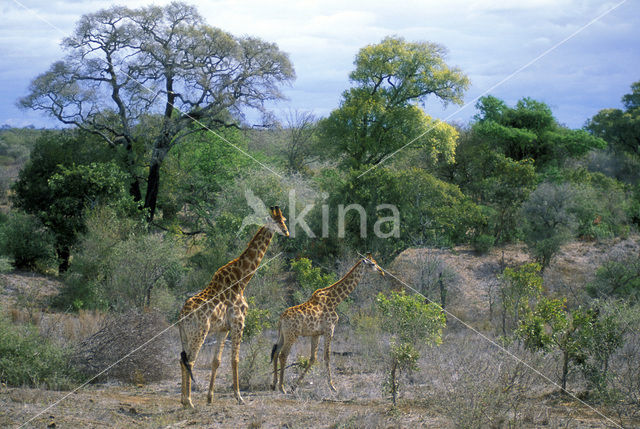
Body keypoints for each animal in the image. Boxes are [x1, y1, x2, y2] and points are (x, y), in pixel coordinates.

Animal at [180, 206, 290, 406]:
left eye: (284, 219)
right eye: (278, 221)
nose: (286, 232)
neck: (242, 279)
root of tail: (181, 316)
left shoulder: (223, 328)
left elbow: (216, 361)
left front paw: (210, 397)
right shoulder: (239, 322)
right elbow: (235, 359)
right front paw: (239, 396)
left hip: (185, 335)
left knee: (182, 360)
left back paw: (184, 401)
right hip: (199, 333)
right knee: (190, 361)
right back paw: (189, 402)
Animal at [272, 252, 384, 392]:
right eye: (373, 264)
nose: (382, 272)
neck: (336, 300)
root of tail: (281, 319)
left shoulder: (316, 334)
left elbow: (313, 358)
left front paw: (295, 386)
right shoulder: (329, 329)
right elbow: (327, 356)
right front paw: (332, 386)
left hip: (283, 334)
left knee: (275, 351)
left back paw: (274, 384)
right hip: (292, 335)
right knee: (283, 355)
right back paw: (282, 387)